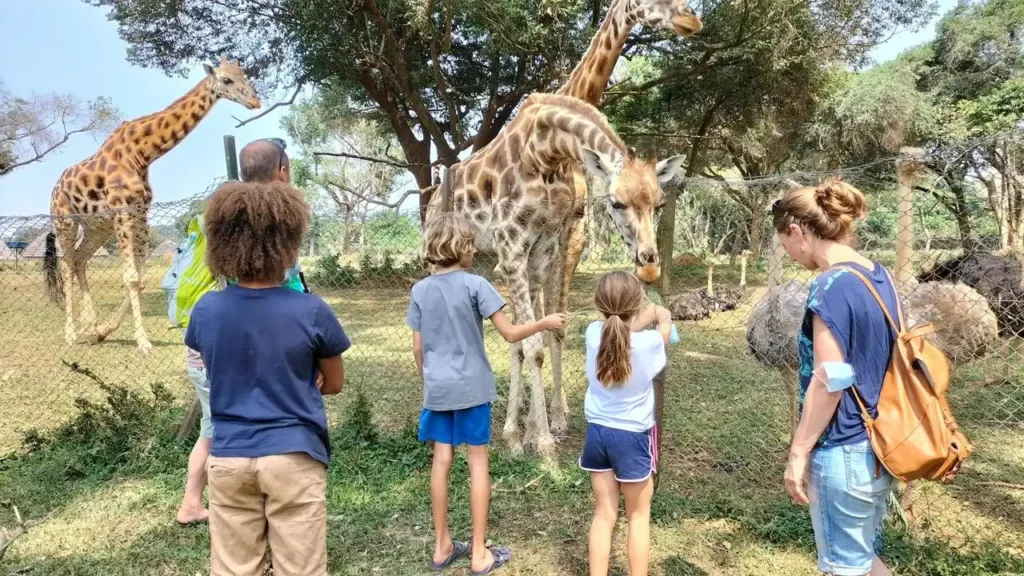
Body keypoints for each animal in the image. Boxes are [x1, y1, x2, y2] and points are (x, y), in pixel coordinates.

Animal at [43, 57, 260, 355]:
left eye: (244, 75)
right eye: (226, 80)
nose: (255, 101)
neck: (142, 154)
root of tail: (54, 189)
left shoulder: (140, 215)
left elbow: (140, 278)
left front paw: (104, 330)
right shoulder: (122, 212)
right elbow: (131, 278)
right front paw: (143, 342)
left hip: (97, 227)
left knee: (79, 260)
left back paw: (92, 325)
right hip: (65, 221)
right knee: (66, 265)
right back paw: (71, 334)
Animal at [429, 93, 684, 457]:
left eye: (660, 204)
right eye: (616, 203)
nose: (649, 266)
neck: (544, 152)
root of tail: (435, 195)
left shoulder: (540, 247)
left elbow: (529, 338)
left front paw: (523, 433)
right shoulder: (512, 246)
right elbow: (533, 343)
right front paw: (544, 442)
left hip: (480, 262)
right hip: (440, 258)